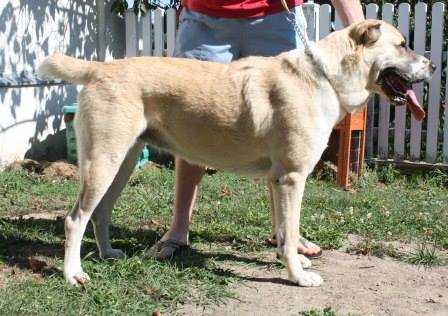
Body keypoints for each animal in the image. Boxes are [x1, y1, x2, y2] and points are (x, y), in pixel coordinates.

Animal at [39, 19, 434, 286]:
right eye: (402, 45)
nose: (431, 65)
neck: (326, 75)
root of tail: (99, 67)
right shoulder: (292, 179)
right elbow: (290, 231)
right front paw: (298, 277)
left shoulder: (277, 180)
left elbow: (284, 232)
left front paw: (292, 261)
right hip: (103, 163)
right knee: (75, 218)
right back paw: (74, 274)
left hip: (121, 164)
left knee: (100, 213)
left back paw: (108, 254)